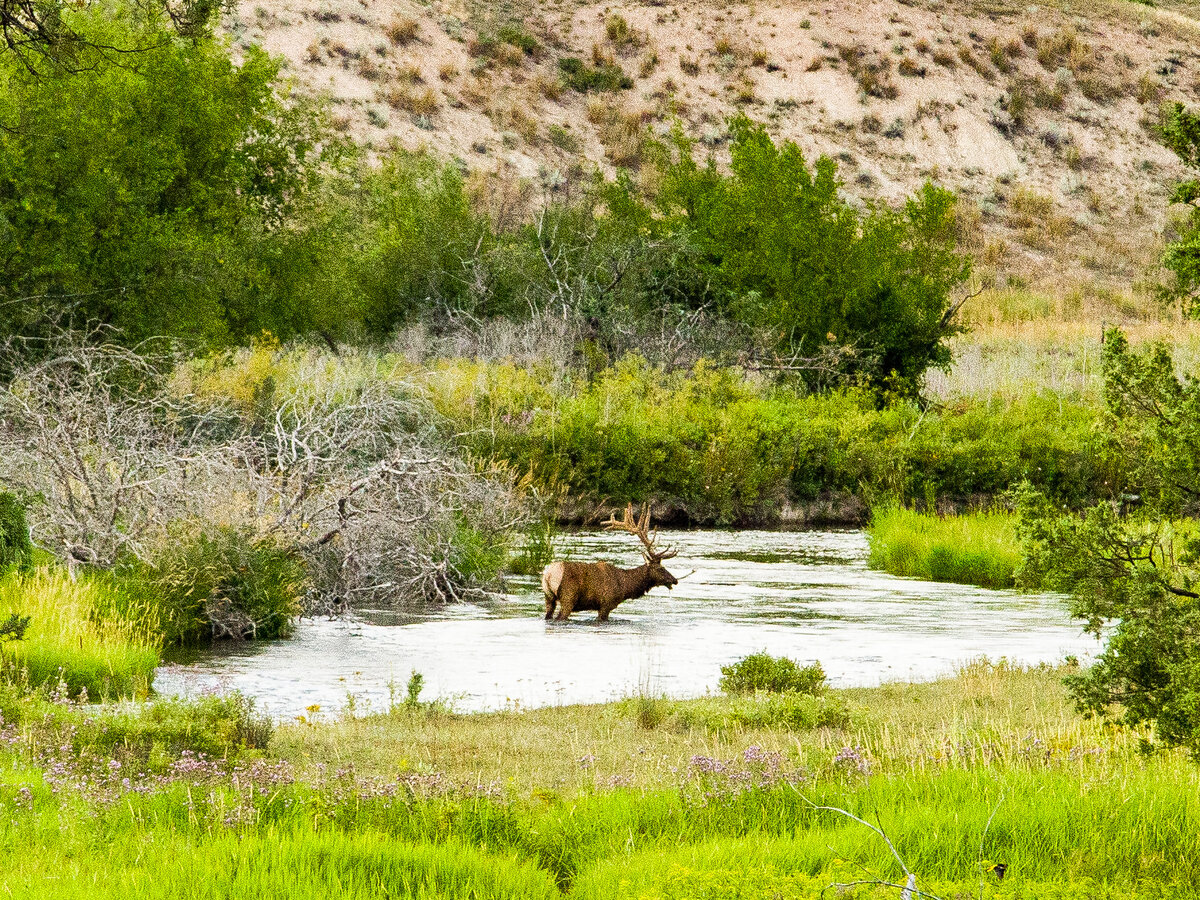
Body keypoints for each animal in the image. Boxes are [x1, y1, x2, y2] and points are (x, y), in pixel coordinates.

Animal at [541, 503, 679, 622]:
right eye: (660, 568)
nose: (675, 580)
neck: (625, 587)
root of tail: (549, 574)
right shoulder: (606, 604)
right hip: (568, 597)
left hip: (548, 597)